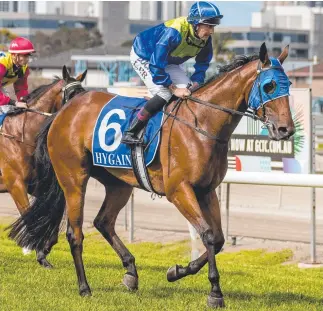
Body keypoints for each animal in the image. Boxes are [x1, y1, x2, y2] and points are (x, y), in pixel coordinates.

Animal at [0, 66, 86, 268]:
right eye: (72, 95)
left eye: (84, 92)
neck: (20, 136)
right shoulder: (15, 185)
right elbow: (30, 219)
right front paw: (36, 250)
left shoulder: (36, 186)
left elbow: (48, 217)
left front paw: (44, 251)